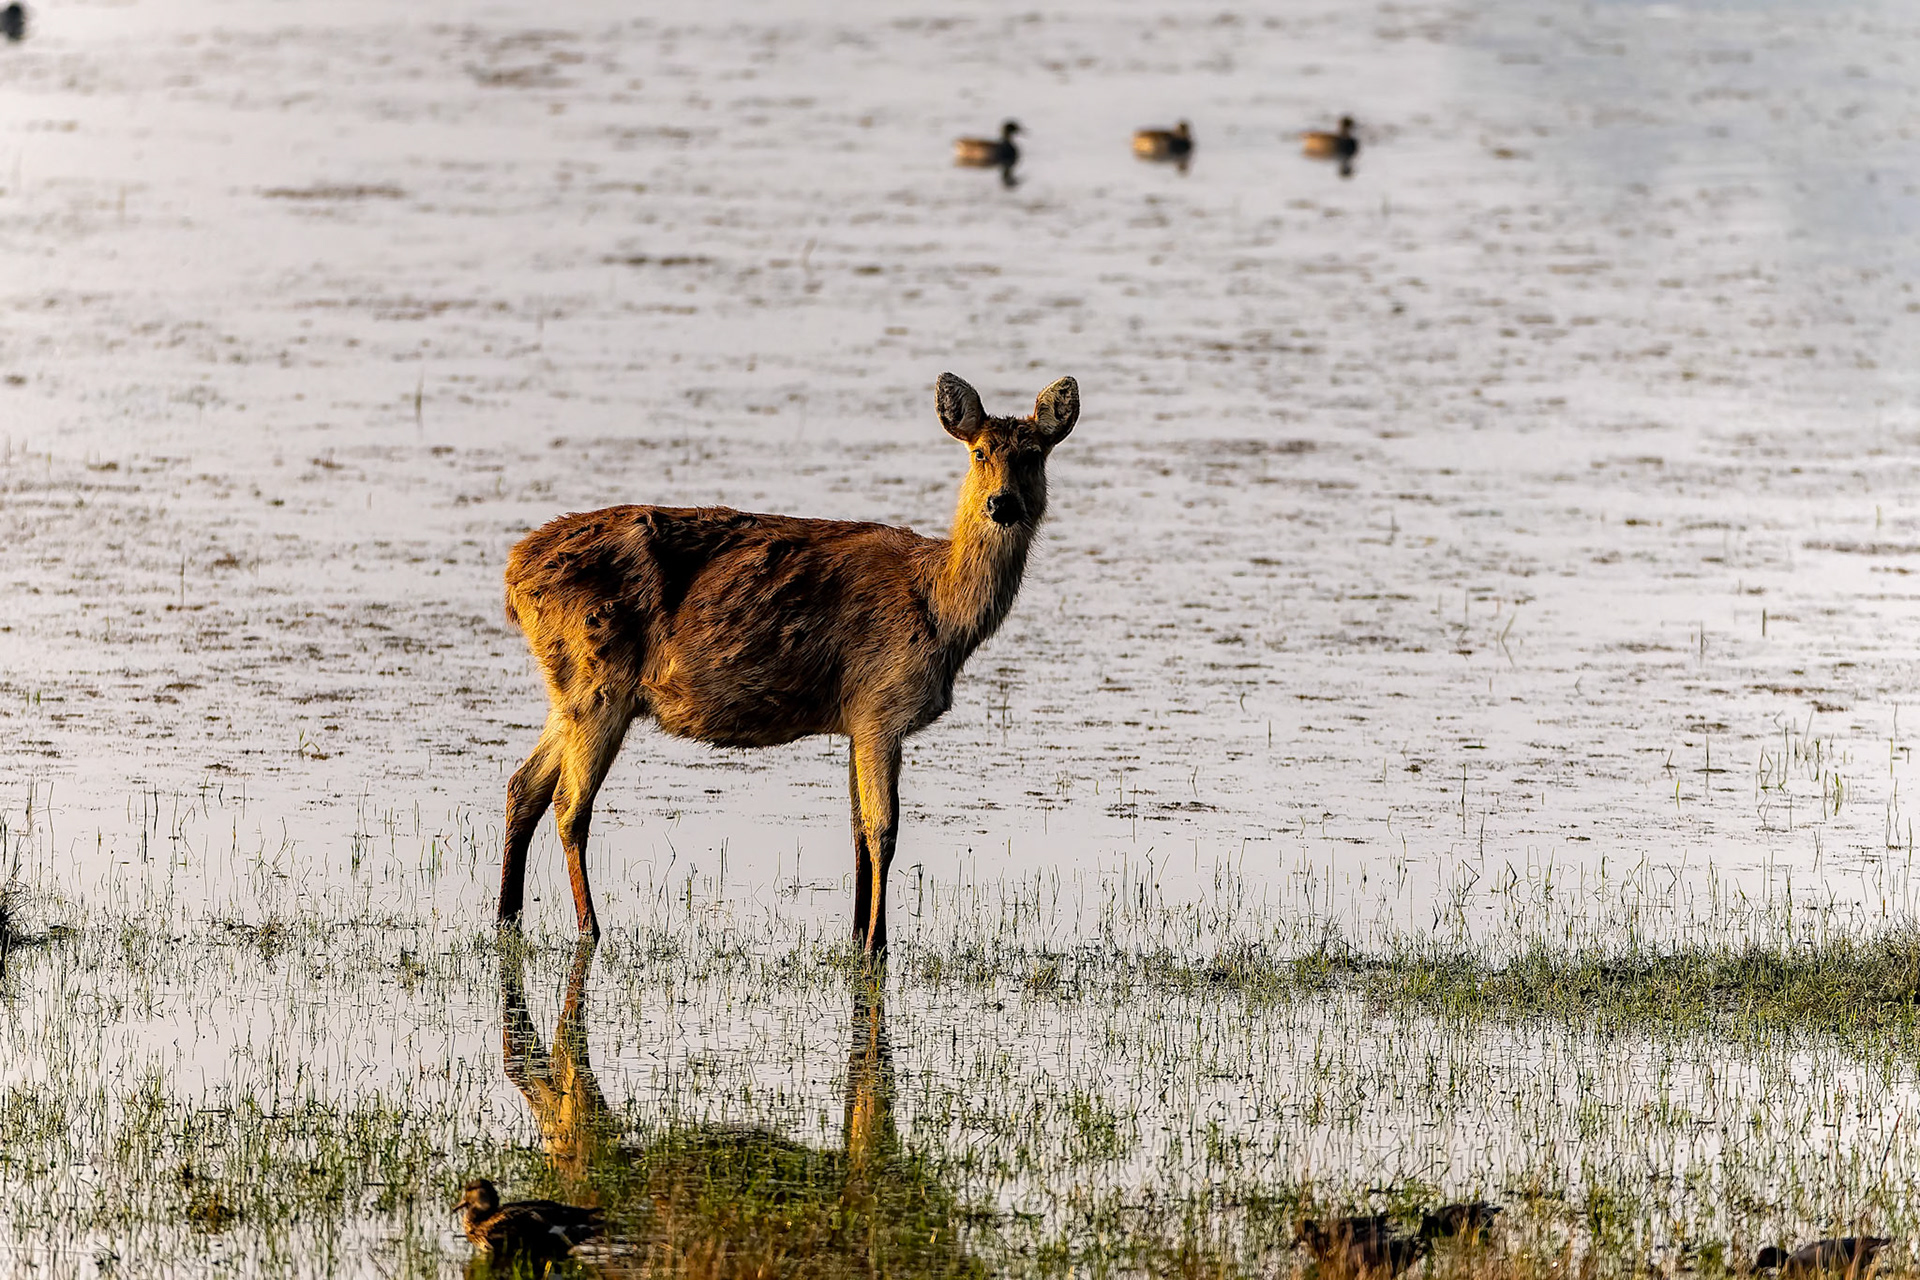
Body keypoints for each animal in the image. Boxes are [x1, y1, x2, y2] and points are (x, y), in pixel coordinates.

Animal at [497, 372, 1080, 959]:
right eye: (980, 452)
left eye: (1033, 455)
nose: (1001, 504)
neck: (941, 609)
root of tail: (514, 575)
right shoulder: (883, 703)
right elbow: (884, 830)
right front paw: (876, 945)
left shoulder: (857, 716)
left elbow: (858, 831)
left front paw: (858, 934)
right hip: (600, 681)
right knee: (571, 806)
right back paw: (590, 927)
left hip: (570, 688)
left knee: (524, 786)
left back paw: (507, 915)